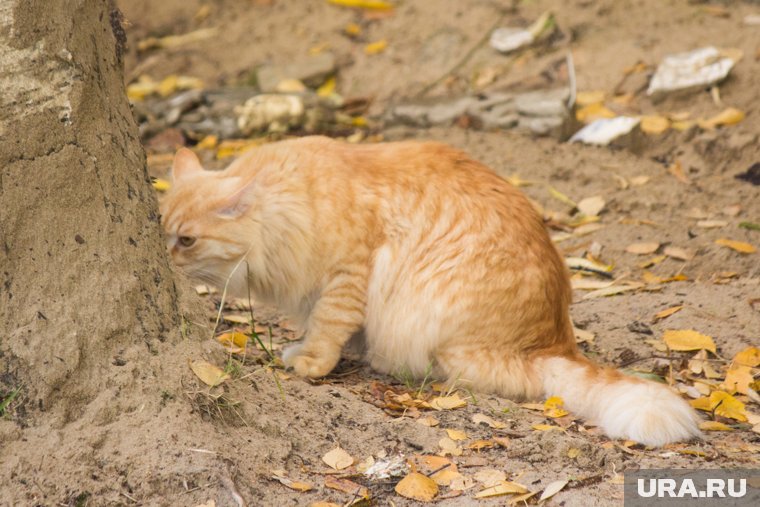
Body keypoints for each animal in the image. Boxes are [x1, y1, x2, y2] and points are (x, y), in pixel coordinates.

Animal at [162, 137, 700, 446]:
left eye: (186, 240)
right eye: (162, 228)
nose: (168, 259)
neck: (289, 204)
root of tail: (555, 340)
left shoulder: (351, 269)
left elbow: (329, 323)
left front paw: (313, 361)